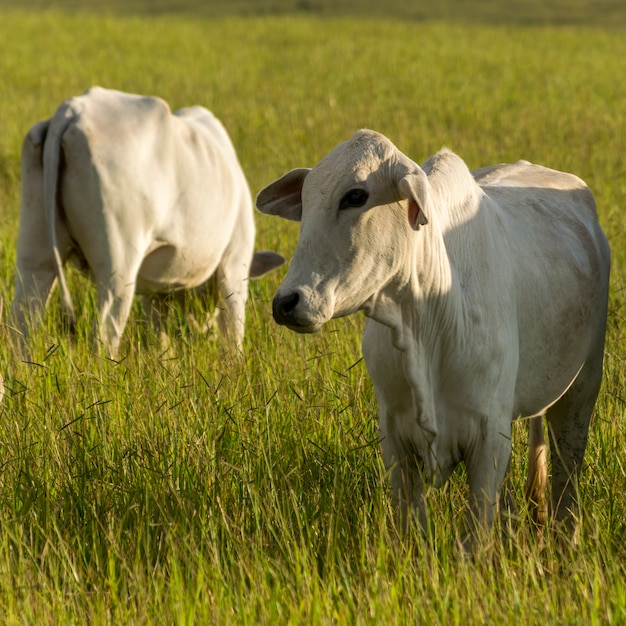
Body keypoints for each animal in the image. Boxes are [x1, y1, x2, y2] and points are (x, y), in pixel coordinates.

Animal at [11, 86, 282, 356]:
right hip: (118, 266)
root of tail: (72, 111)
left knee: (23, 322)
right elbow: (233, 333)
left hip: (35, 254)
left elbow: (160, 337)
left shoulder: (155, 291)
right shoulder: (235, 263)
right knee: (104, 335)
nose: (204, 330)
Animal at [258, 128, 608, 540]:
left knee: (565, 484)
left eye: (356, 196)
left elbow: (475, 538)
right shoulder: (394, 437)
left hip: (581, 392)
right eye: (306, 198)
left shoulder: (490, 439)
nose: (286, 302)